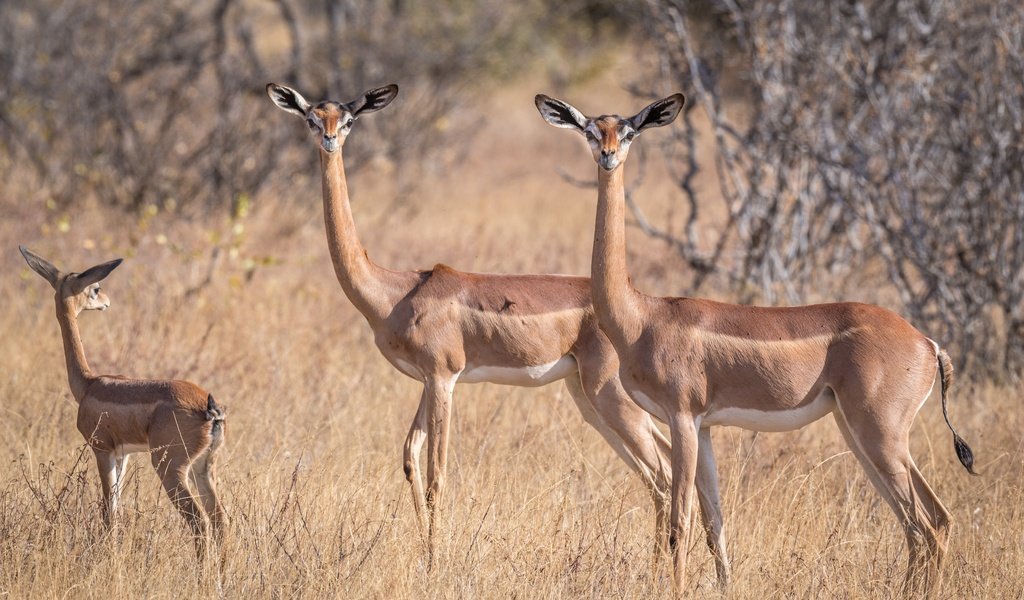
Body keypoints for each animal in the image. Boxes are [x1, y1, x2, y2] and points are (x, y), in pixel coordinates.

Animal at [19, 246, 228, 561]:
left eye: (96, 286)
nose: (106, 302)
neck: (89, 383)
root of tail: (209, 410)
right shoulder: (123, 454)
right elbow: (116, 508)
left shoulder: (101, 449)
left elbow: (109, 510)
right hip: (204, 467)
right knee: (220, 520)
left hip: (171, 468)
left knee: (198, 520)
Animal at [266, 81, 729, 577]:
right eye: (312, 117)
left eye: (349, 119)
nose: (329, 140)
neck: (394, 291)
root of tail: (640, 309)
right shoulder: (427, 381)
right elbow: (410, 457)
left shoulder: (443, 378)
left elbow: (437, 475)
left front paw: (434, 564)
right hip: (588, 398)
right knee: (662, 472)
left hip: (611, 396)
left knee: (661, 472)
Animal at [536, 93, 974, 593]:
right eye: (591, 130)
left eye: (628, 132)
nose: (608, 156)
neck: (641, 316)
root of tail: (927, 342)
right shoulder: (705, 427)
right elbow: (715, 522)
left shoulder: (682, 418)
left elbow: (681, 521)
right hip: (859, 432)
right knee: (919, 524)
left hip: (880, 434)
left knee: (931, 523)